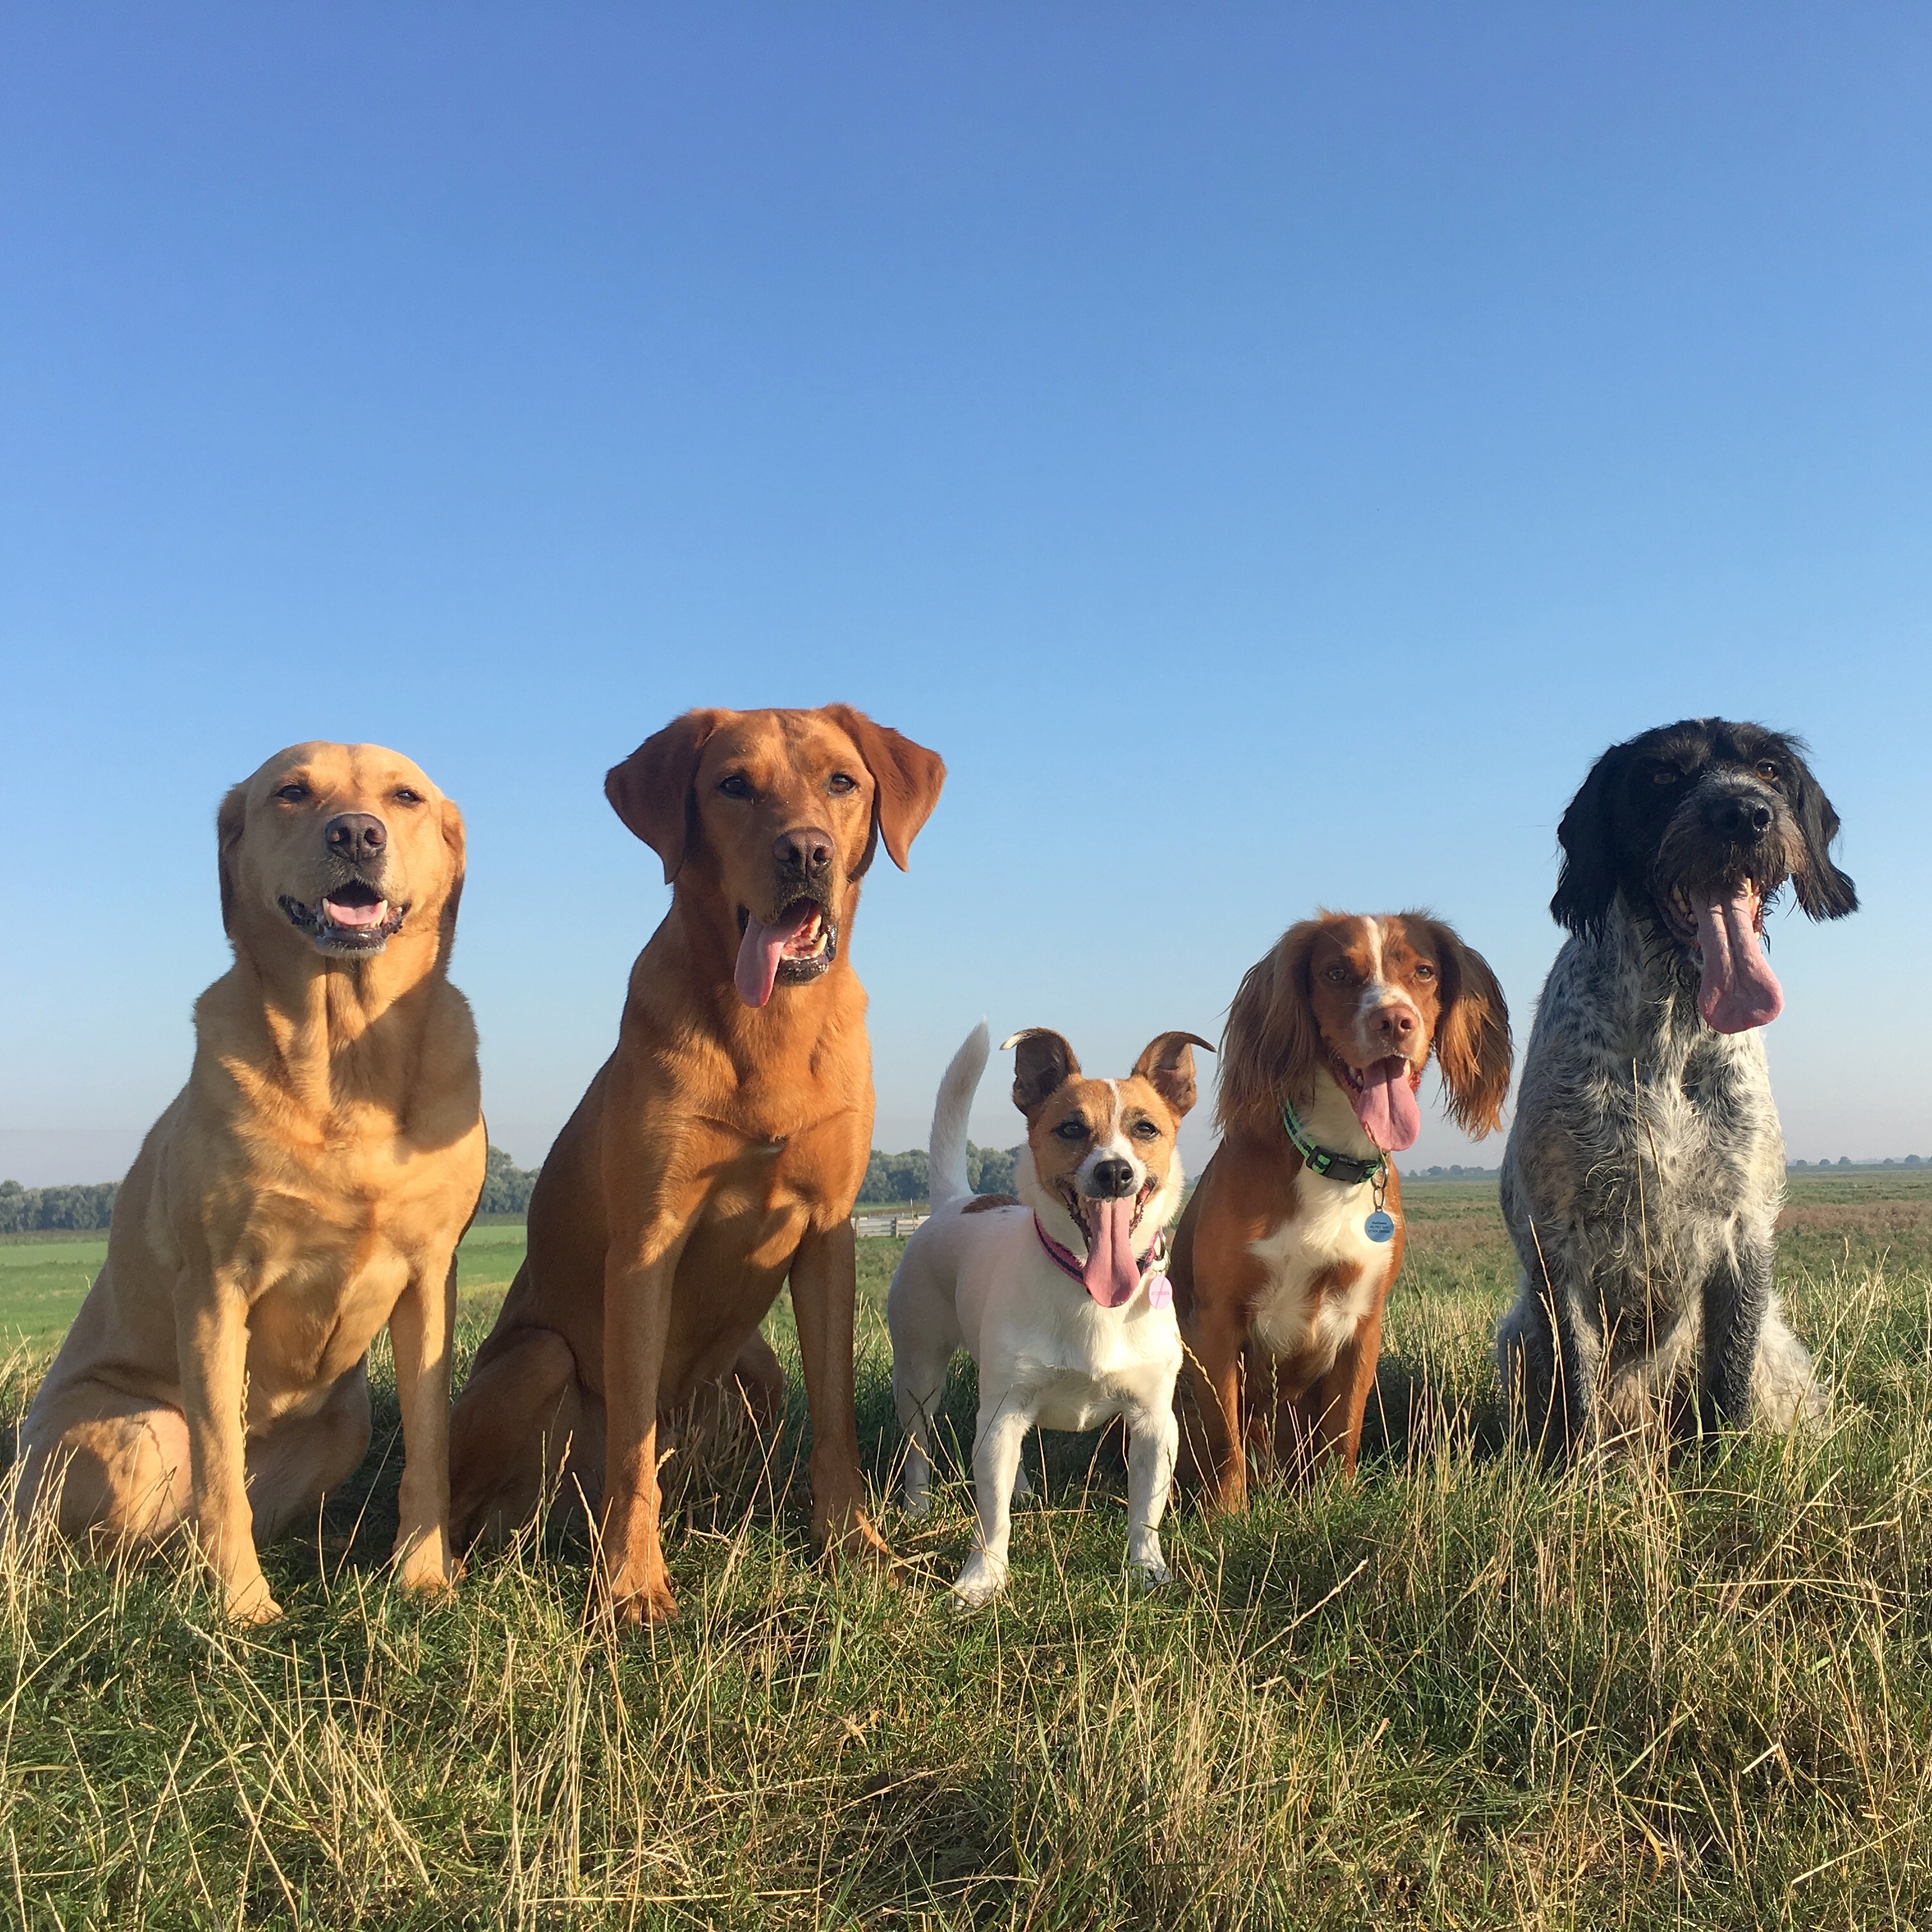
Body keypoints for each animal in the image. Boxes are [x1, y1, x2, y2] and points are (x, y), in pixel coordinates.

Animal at [1491, 718, 1855, 1453]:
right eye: (1662, 775)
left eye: (1770, 770)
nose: (1745, 814)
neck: (1671, 1031)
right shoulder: (1556, 1237)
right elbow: (1577, 1384)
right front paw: (1579, 1472)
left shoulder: (1745, 1227)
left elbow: (1729, 1378)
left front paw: (1728, 1466)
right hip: (1517, 1340)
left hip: (1779, 1357)